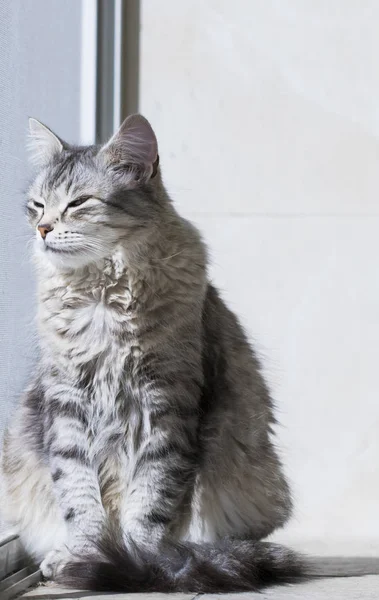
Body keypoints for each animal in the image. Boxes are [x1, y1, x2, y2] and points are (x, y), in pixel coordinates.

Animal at [0, 115, 308, 592]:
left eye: (78, 203)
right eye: (37, 205)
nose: (42, 229)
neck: (101, 295)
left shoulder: (165, 404)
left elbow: (150, 499)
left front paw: (138, 562)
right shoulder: (67, 402)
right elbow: (79, 496)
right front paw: (88, 554)